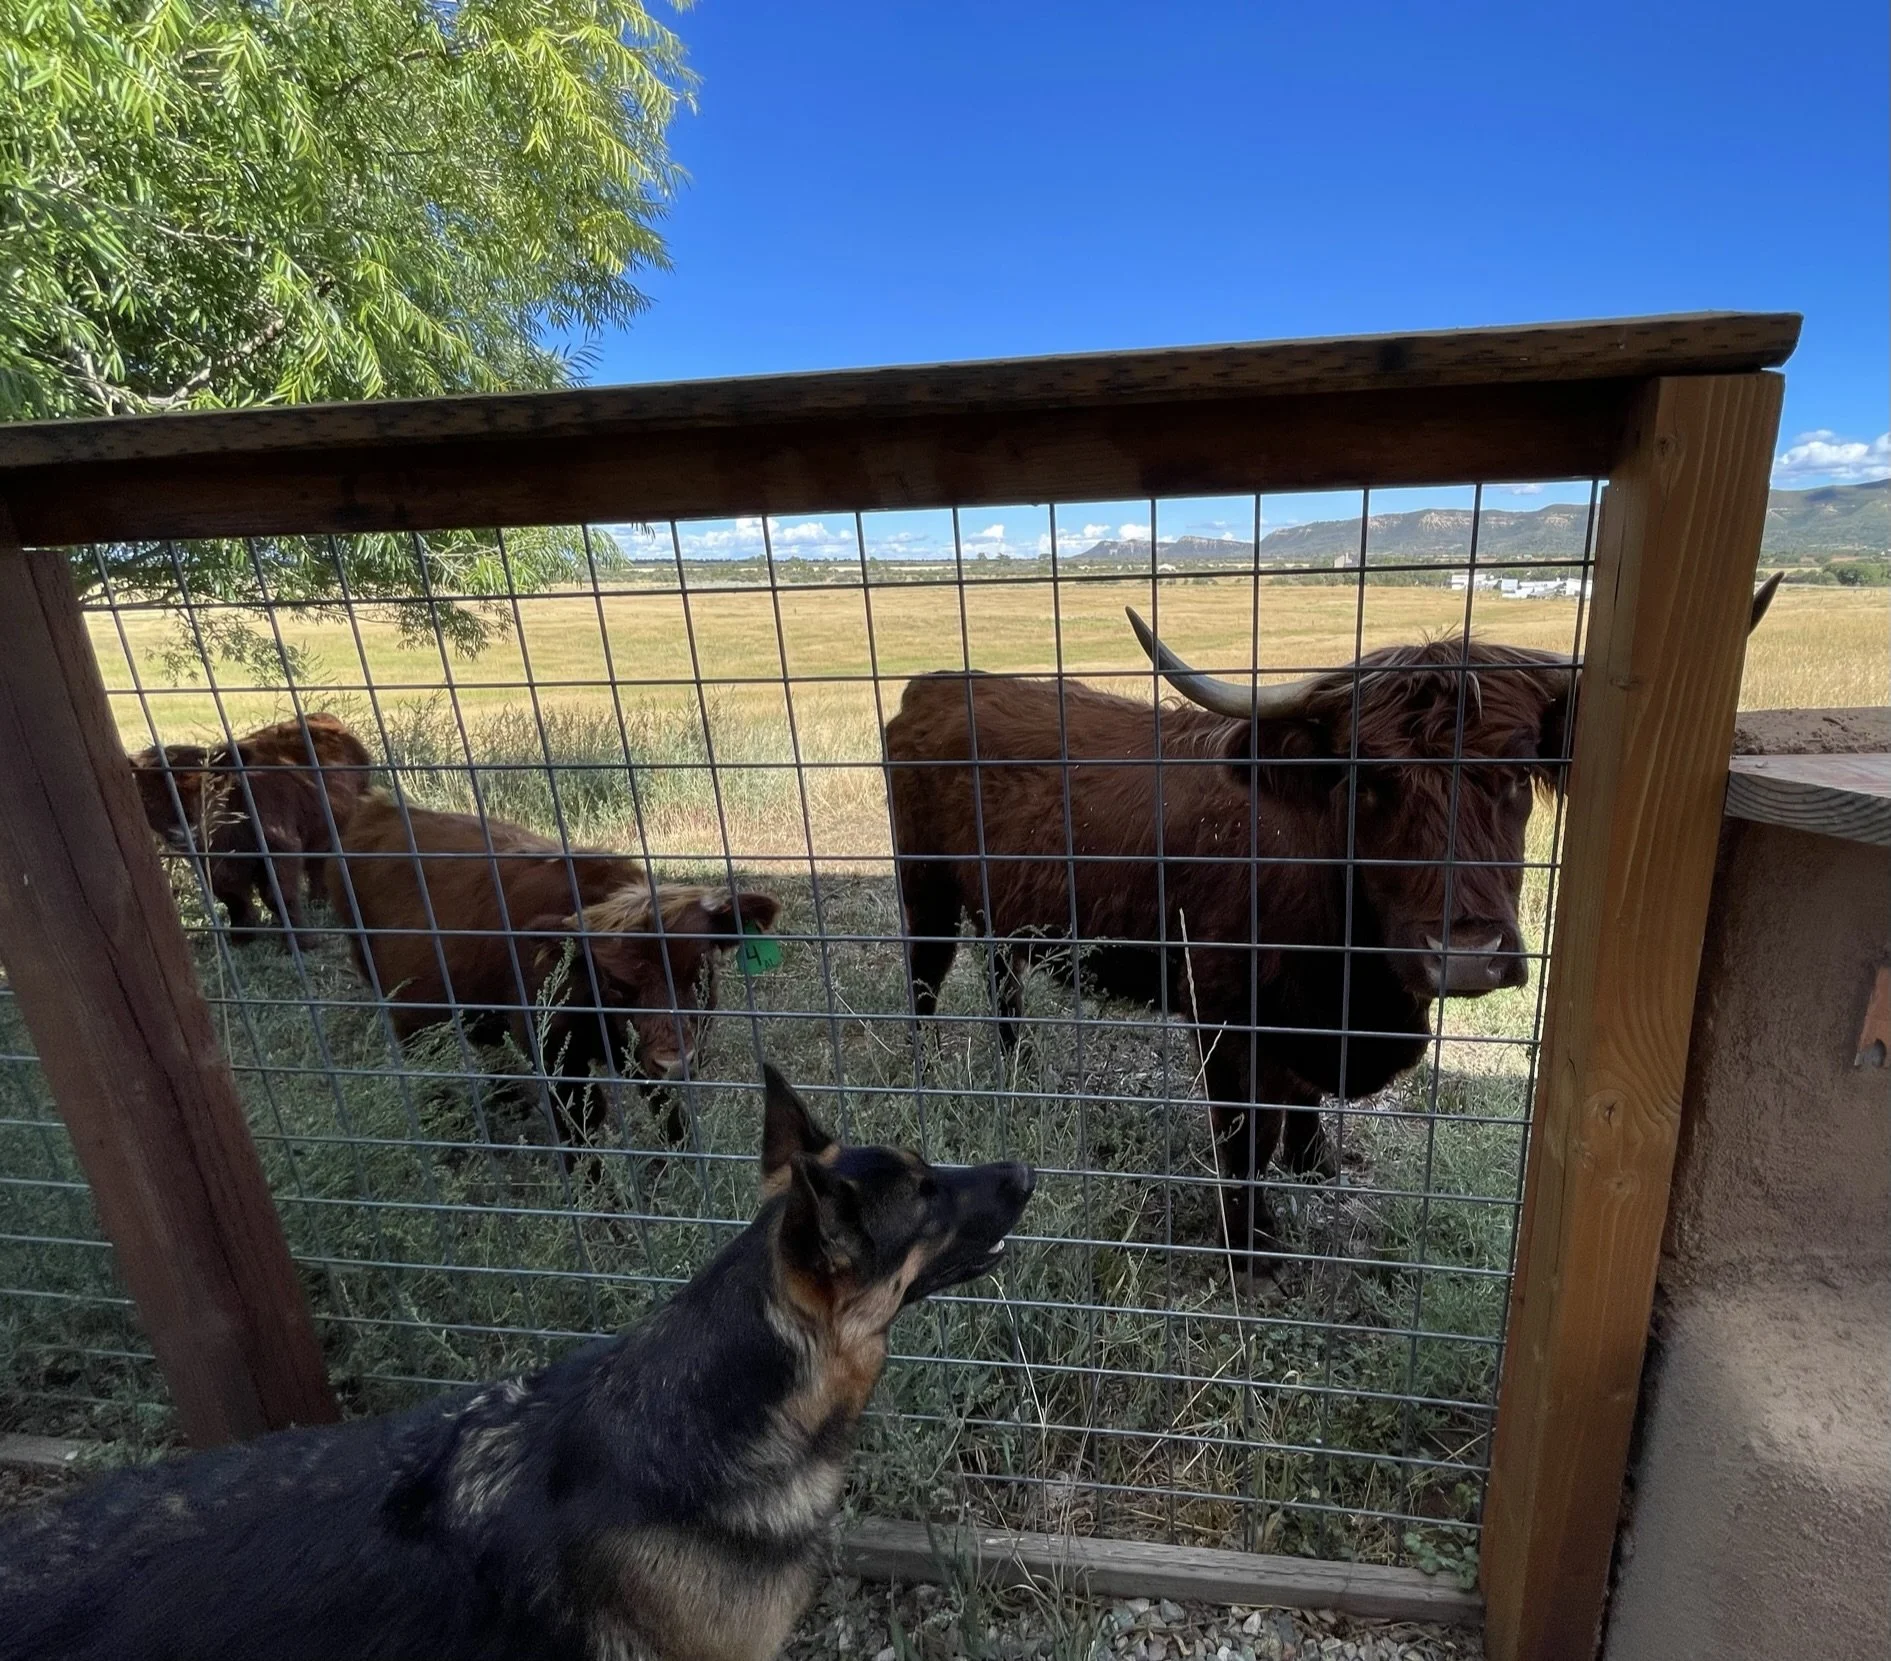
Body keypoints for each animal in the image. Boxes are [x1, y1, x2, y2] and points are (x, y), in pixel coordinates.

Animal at [130, 712, 372, 947]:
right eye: (148, 795)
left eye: (208, 789)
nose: (183, 830)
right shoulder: (214, 866)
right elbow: (232, 897)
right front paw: (242, 936)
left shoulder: (281, 849)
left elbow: (278, 895)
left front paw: (302, 941)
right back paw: (318, 901)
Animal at [327, 792, 781, 1151]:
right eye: (613, 984)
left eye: (701, 971)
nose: (675, 1062)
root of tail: (379, 809)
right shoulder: (557, 1062)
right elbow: (580, 1133)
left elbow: (670, 1116)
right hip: (406, 1012)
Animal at [882, 577, 1781, 1277]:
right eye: (1369, 777)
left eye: (1516, 771)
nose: (1465, 955)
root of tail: (937, 684)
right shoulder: (1225, 1017)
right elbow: (1245, 1133)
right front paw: (1252, 1248)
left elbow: (1300, 1102)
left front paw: (1313, 1165)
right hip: (925, 889)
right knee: (925, 978)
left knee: (1000, 976)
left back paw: (1017, 1063)